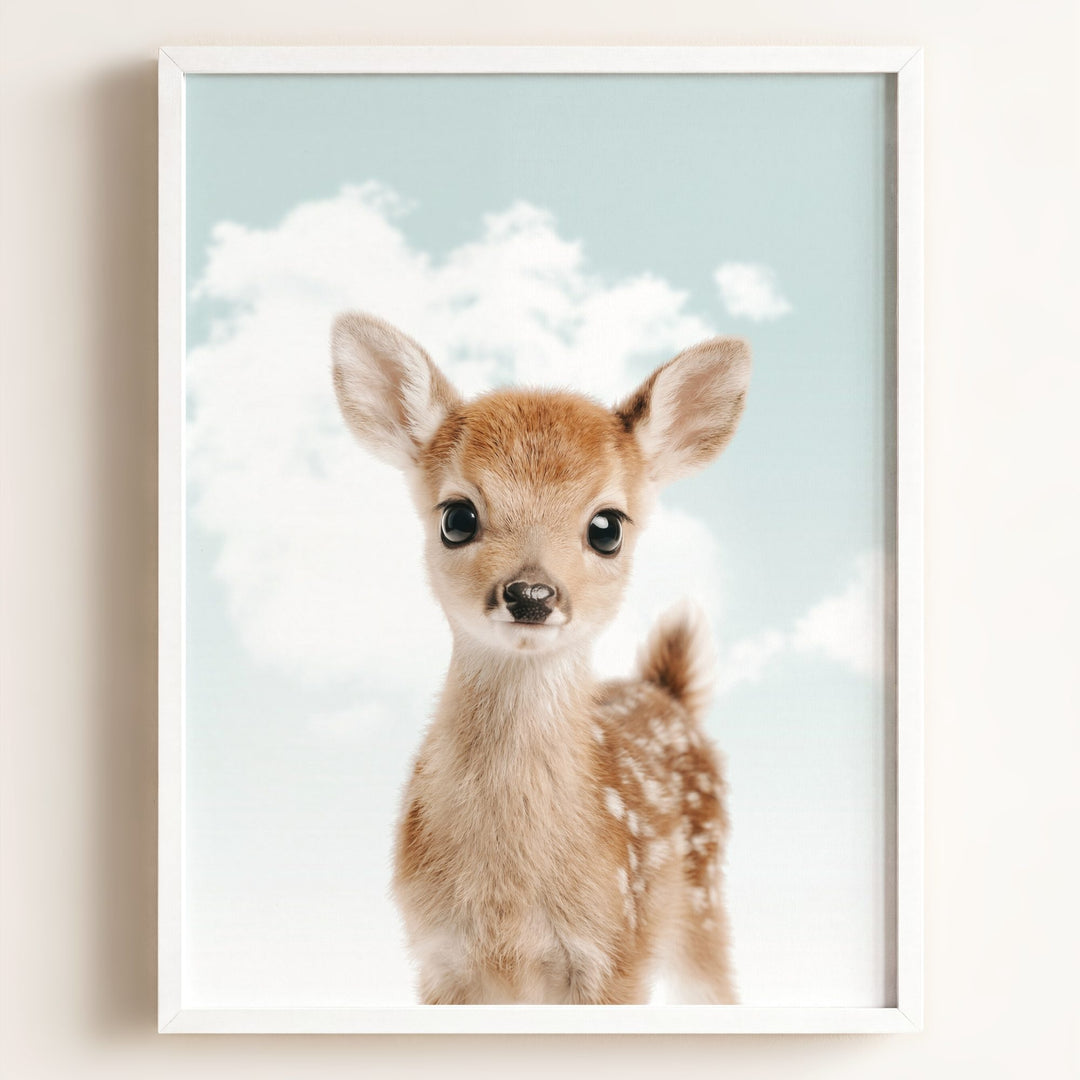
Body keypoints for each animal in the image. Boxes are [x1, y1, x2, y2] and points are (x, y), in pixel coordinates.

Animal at [331, 312, 751, 1005]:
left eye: (607, 527)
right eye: (457, 516)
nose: (531, 594)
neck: (509, 904)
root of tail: (667, 692)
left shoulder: (617, 950)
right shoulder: (437, 958)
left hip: (703, 900)